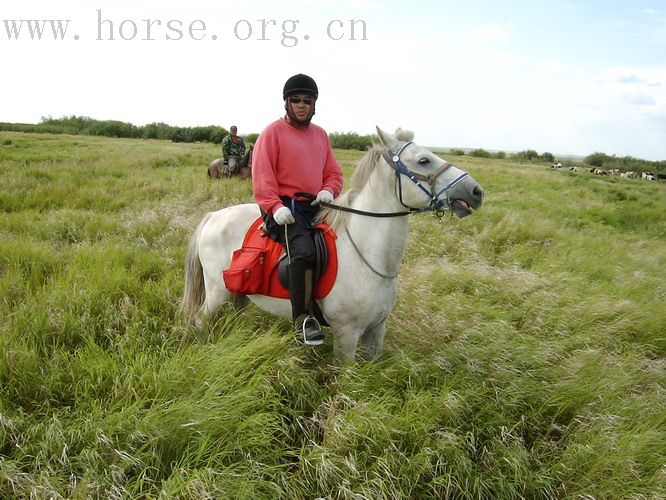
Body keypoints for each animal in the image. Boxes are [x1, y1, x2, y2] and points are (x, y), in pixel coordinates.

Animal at [182, 128, 482, 364]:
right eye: (424, 160)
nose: (476, 191)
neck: (366, 255)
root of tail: (213, 217)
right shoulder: (347, 335)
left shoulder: (377, 332)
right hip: (216, 292)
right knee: (200, 320)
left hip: (239, 294)